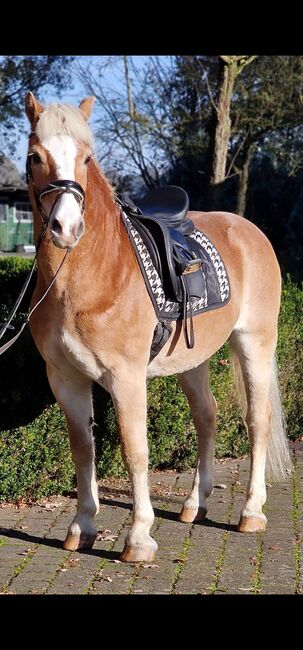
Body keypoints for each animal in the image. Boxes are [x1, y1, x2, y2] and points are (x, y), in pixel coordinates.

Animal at [24, 92, 292, 560]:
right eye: (35, 157)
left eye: (87, 157)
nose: (65, 228)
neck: (94, 274)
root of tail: (249, 230)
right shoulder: (65, 378)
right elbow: (82, 450)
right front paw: (82, 526)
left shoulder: (126, 377)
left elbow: (135, 451)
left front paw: (138, 536)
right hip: (192, 361)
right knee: (207, 416)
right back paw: (194, 504)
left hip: (255, 344)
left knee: (258, 420)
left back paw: (251, 512)